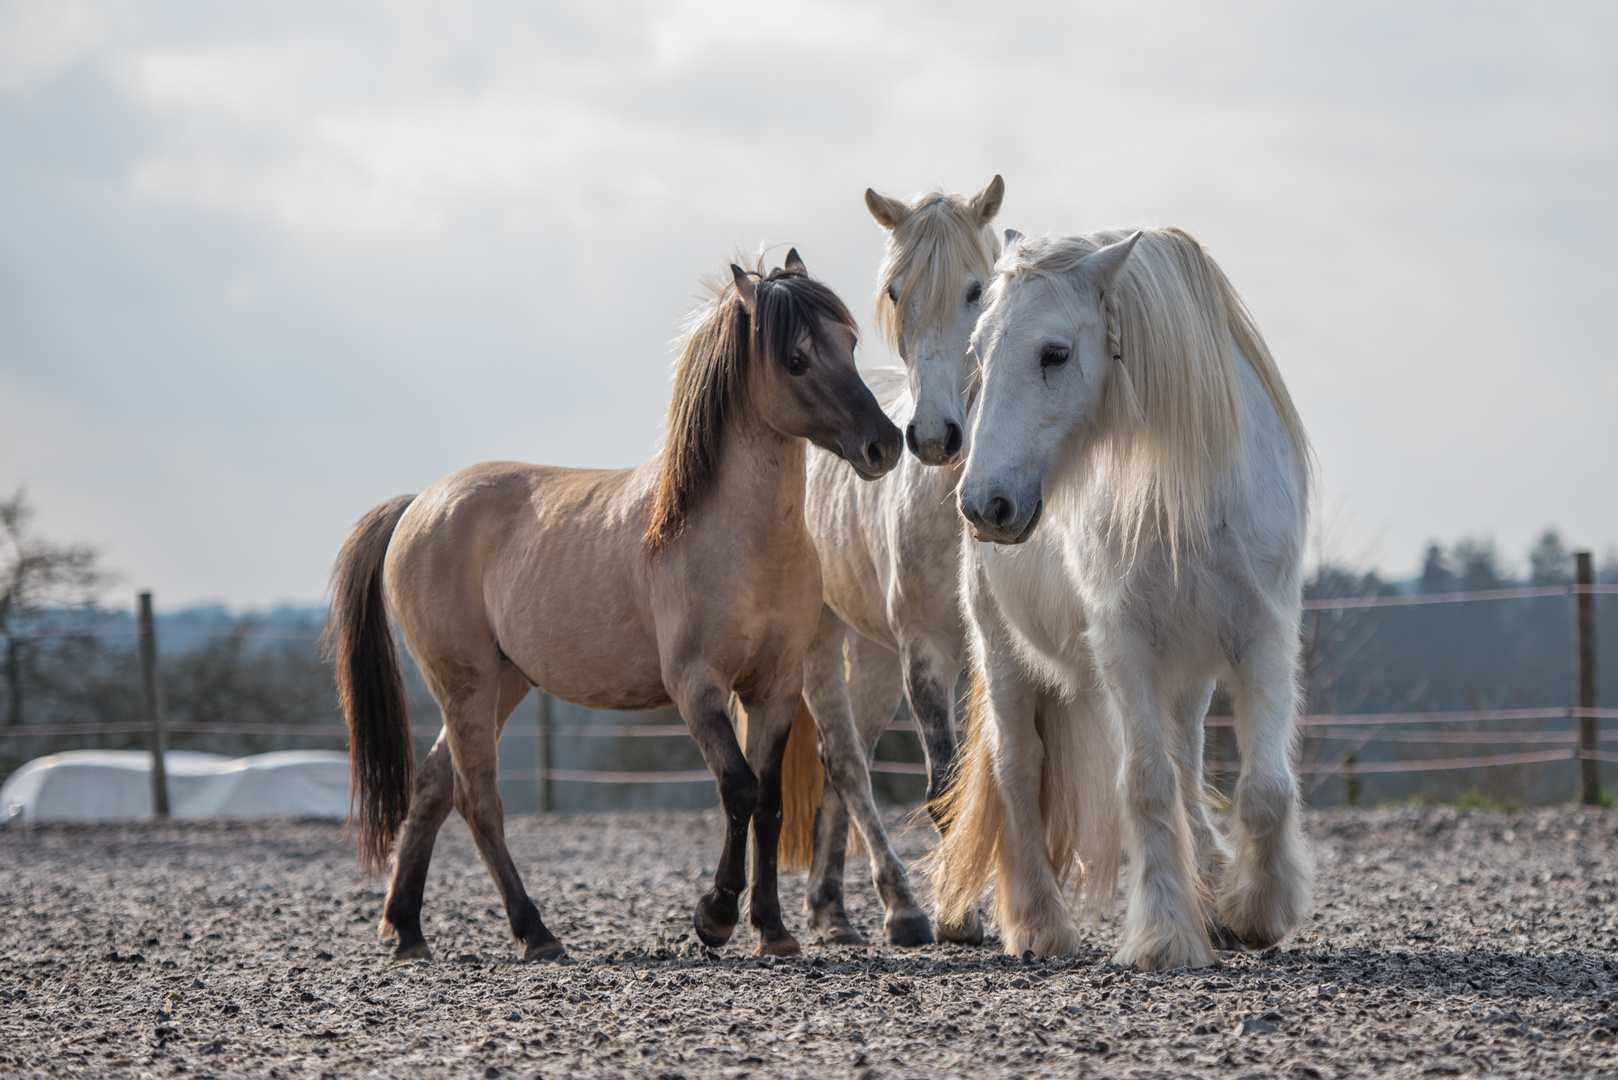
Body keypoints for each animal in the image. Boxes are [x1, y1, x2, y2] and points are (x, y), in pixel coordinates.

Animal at [325, 255, 899, 965]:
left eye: (849, 344)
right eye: (795, 359)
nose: (885, 444)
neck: (739, 537)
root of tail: (418, 505)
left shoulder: (775, 688)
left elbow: (767, 803)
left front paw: (772, 929)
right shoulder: (696, 688)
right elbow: (736, 789)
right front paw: (713, 917)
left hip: (504, 682)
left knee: (433, 788)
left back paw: (407, 930)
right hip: (465, 684)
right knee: (478, 801)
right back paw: (535, 933)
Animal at [938, 228, 1313, 971]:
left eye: (1055, 352)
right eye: (979, 352)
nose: (984, 503)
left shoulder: (1262, 637)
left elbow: (1264, 787)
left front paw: (1256, 911)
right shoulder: (1124, 647)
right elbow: (1145, 783)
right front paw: (1166, 934)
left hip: (1188, 678)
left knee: (1188, 763)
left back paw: (1213, 898)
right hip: (1005, 657)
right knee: (1018, 771)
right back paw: (1039, 924)